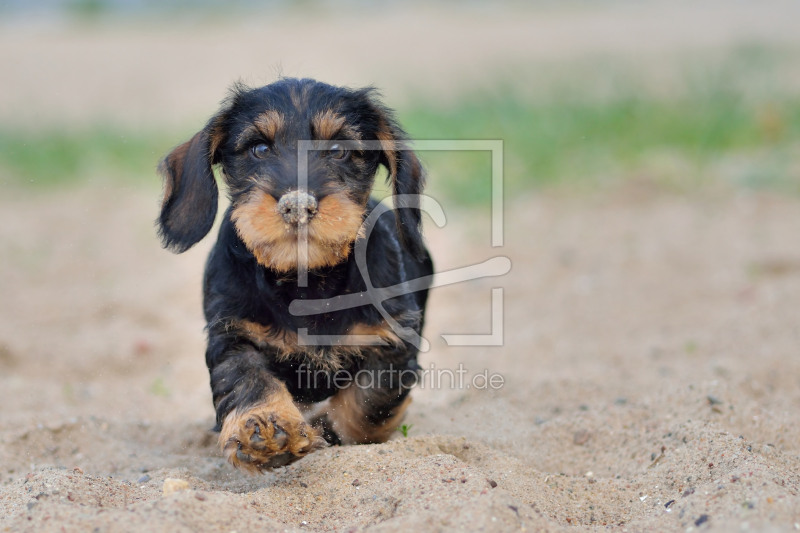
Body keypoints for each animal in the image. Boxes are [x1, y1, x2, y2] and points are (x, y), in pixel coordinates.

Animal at [156, 78, 432, 470]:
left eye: (338, 149)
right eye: (259, 148)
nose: (297, 205)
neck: (307, 282)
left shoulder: (391, 344)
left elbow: (366, 405)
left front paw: (323, 430)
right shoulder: (233, 338)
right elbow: (250, 380)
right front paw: (268, 430)